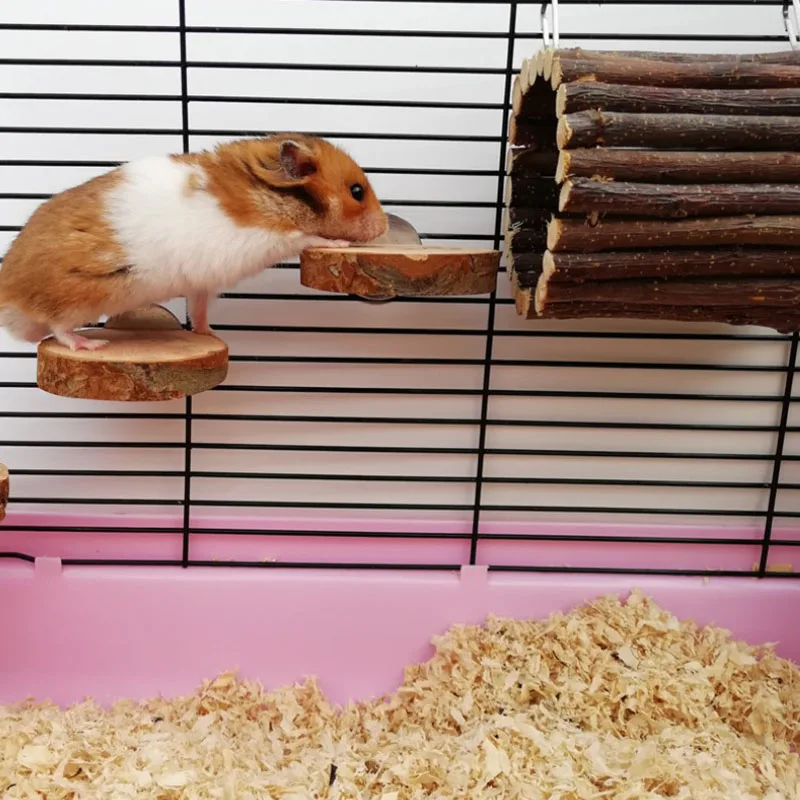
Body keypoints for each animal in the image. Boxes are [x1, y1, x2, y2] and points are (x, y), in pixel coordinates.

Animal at [0, 133, 387, 351]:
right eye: (357, 191)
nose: (383, 227)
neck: (269, 195)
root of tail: (8, 289)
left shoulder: (203, 283)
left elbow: (198, 311)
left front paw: (213, 336)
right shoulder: (264, 236)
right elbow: (307, 236)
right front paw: (340, 243)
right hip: (75, 297)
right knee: (59, 330)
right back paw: (90, 345)